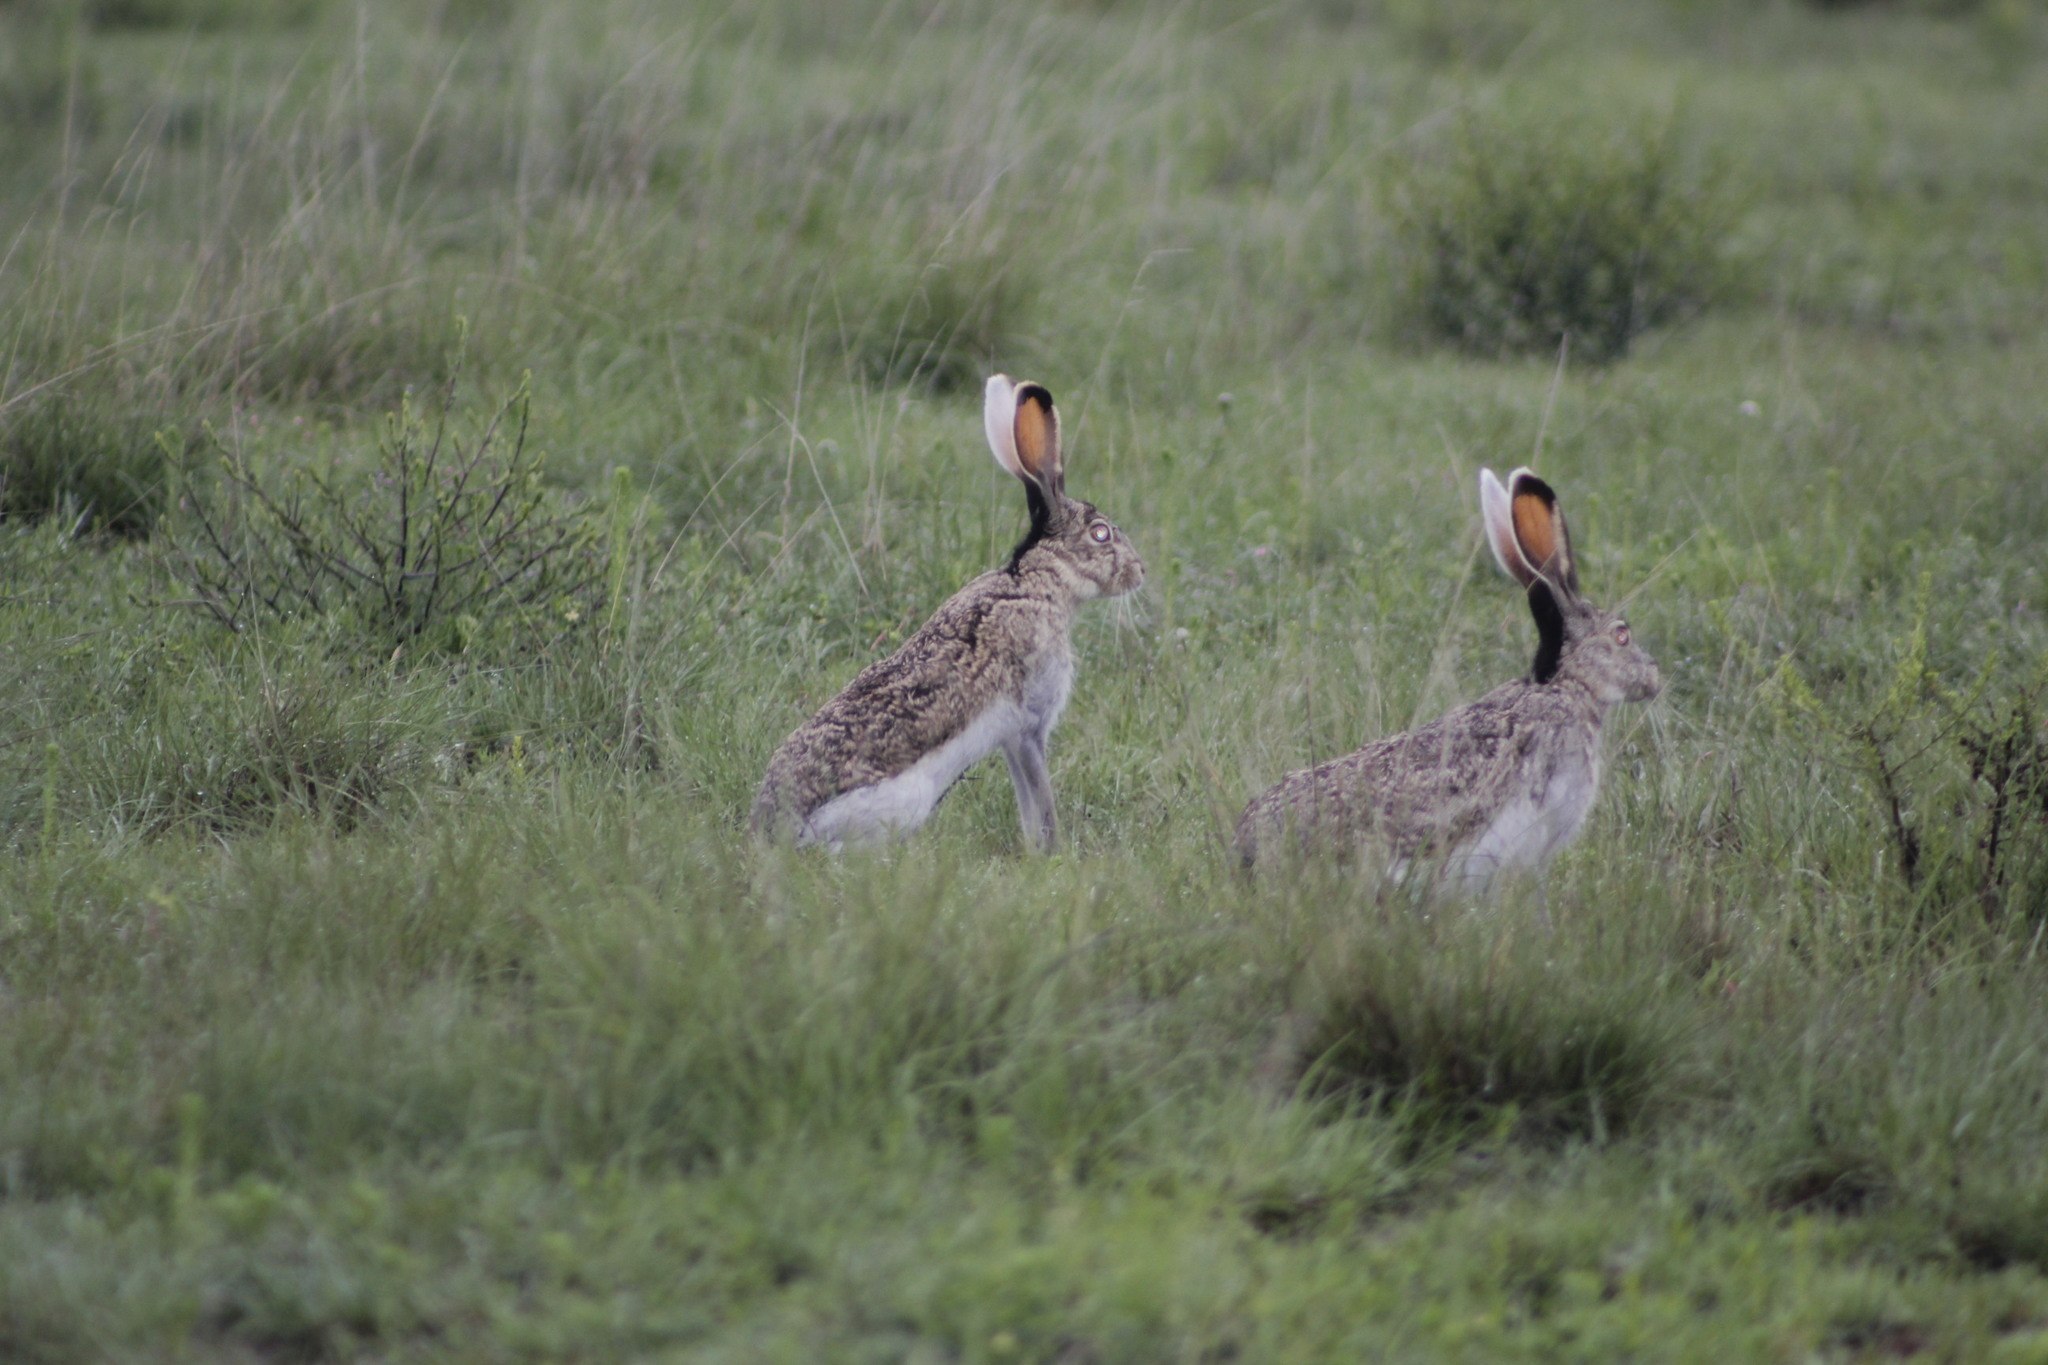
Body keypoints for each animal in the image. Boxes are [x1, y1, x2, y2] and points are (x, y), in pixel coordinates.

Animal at [751, 375, 1144, 852]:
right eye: (1101, 534)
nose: (1140, 571)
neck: (1038, 581)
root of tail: (776, 828)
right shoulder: (1029, 725)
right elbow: (1040, 799)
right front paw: (1053, 852)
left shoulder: (1011, 739)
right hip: (902, 803)